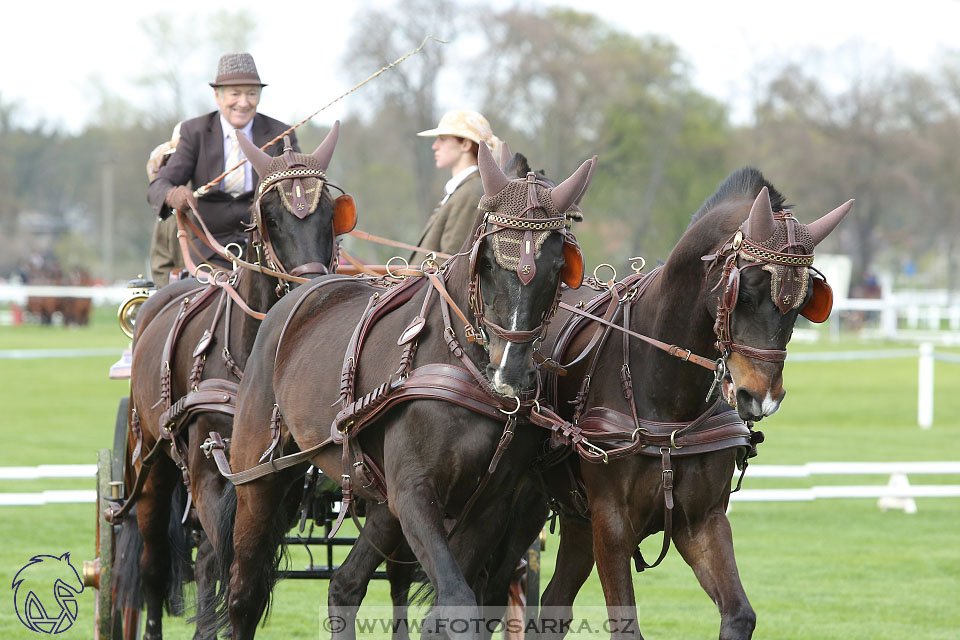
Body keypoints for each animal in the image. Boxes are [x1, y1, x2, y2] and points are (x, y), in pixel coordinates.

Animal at [116, 122, 348, 636]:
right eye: (270, 217)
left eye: (330, 215)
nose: (314, 294)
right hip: (152, 461)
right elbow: (213, 563)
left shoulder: (275, 477)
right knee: (154, 563)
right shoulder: (208, 469)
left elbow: (247, 572)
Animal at [205, 142, 588, 636]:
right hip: (259, 477)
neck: (468, 372)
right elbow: (457, 602)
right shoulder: (415, 494)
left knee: (345, 585)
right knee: (244, 592)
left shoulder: (490, 505)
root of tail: (302, 293)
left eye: (559, 267)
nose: (511, 375)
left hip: (380, 498)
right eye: (487, 262)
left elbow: (453, 608)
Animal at [532, 168, 856, 636]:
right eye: (747, 291)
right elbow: (626, 624)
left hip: (577, 521)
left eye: (802, 304)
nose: (761, 397)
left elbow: (739, 614)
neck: (666, 399)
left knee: (554, 605)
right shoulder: (611, 523)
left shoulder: (702, 521)